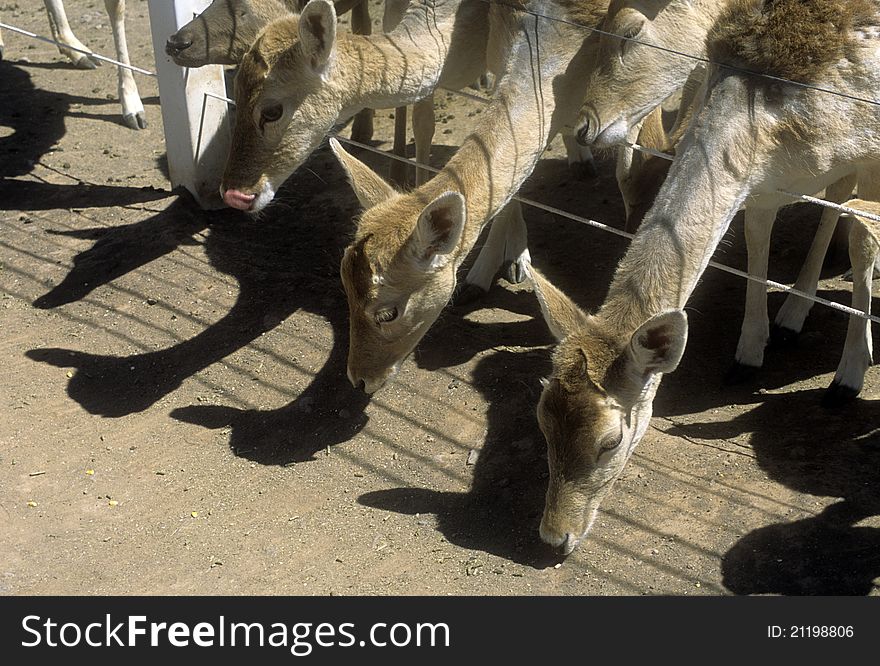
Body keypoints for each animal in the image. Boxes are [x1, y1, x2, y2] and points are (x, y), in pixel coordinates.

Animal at [532, 0, 880, 552]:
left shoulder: (867, 157)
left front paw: (848, 376)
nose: (553, 536)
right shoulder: (769, 180)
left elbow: (862, 237)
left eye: (611, 441)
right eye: (542, 420)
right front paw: (750, 353)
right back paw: (794, 312)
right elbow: (759, 239)